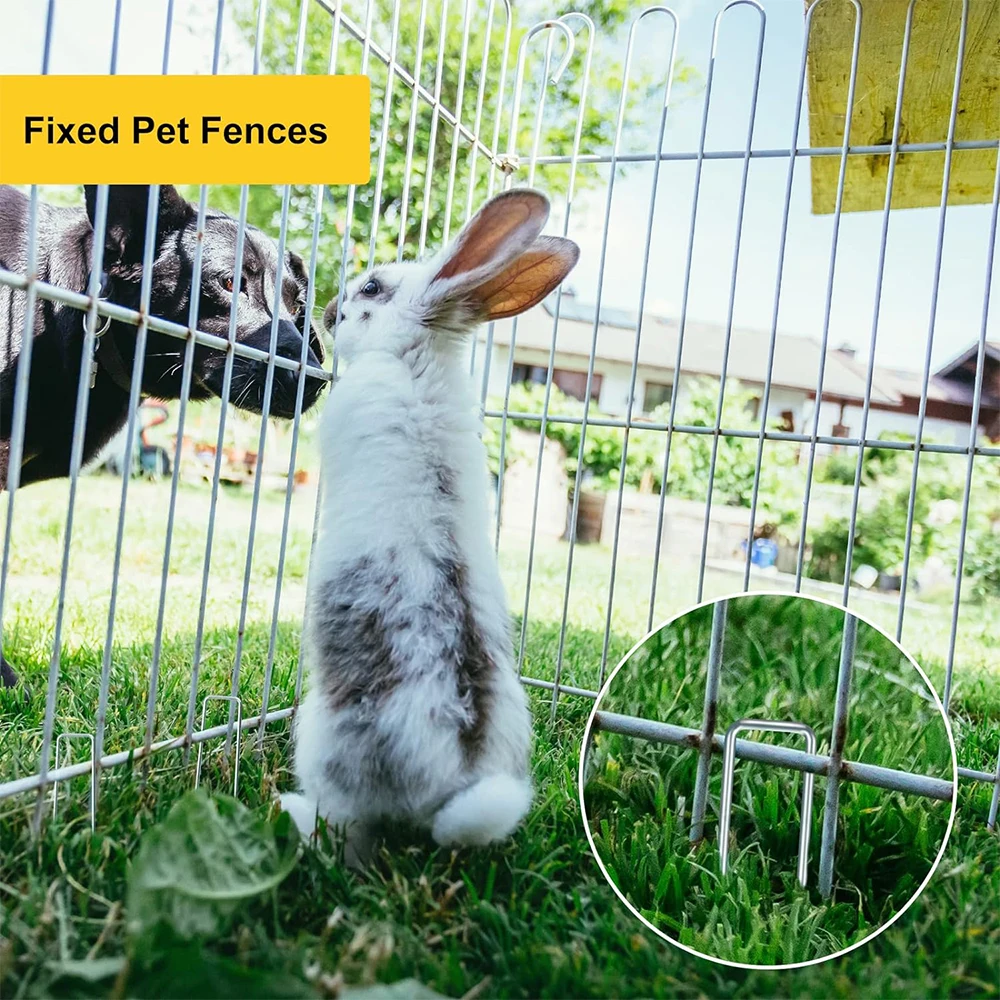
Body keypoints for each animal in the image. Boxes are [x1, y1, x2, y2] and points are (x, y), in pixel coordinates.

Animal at [280, 191, 580, 864]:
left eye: (372, 287)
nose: (330, 312)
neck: (413, 359)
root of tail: (451, 785)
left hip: (321, 751)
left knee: (348, 836)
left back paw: (293, 815)